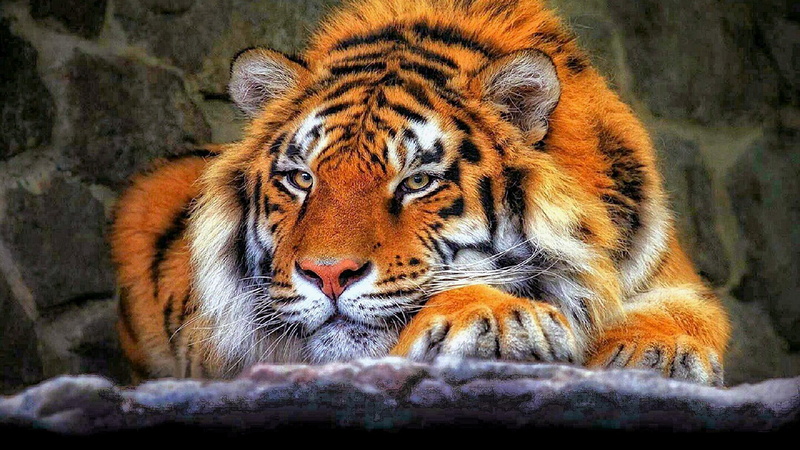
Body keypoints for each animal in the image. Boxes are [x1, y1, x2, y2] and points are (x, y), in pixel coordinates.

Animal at [111, 0, 731, 385]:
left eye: (417, 182)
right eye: (302, 178)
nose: (328, 274)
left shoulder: (672, 275)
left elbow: (688, 313)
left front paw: (655, 351)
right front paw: (501, 317)